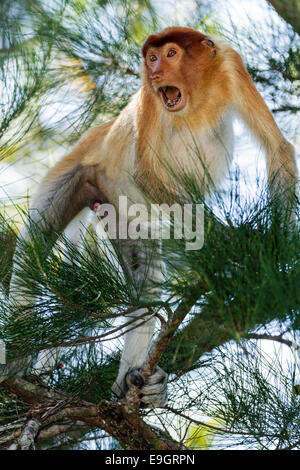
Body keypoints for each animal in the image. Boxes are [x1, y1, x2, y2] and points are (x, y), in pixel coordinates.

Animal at [7, 27, 298, 406]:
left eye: (171, 54)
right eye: (151, 58)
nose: (156, 73)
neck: (196, 99)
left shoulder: (231, 67)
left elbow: (277, 147)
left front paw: (279, 245)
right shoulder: (149, 98)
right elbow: (147, 174)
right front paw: (235, 241)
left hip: (121, 210)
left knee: (145, 278)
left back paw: (131, 385)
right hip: (76, 172)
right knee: (29, 258)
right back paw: (16, 369)